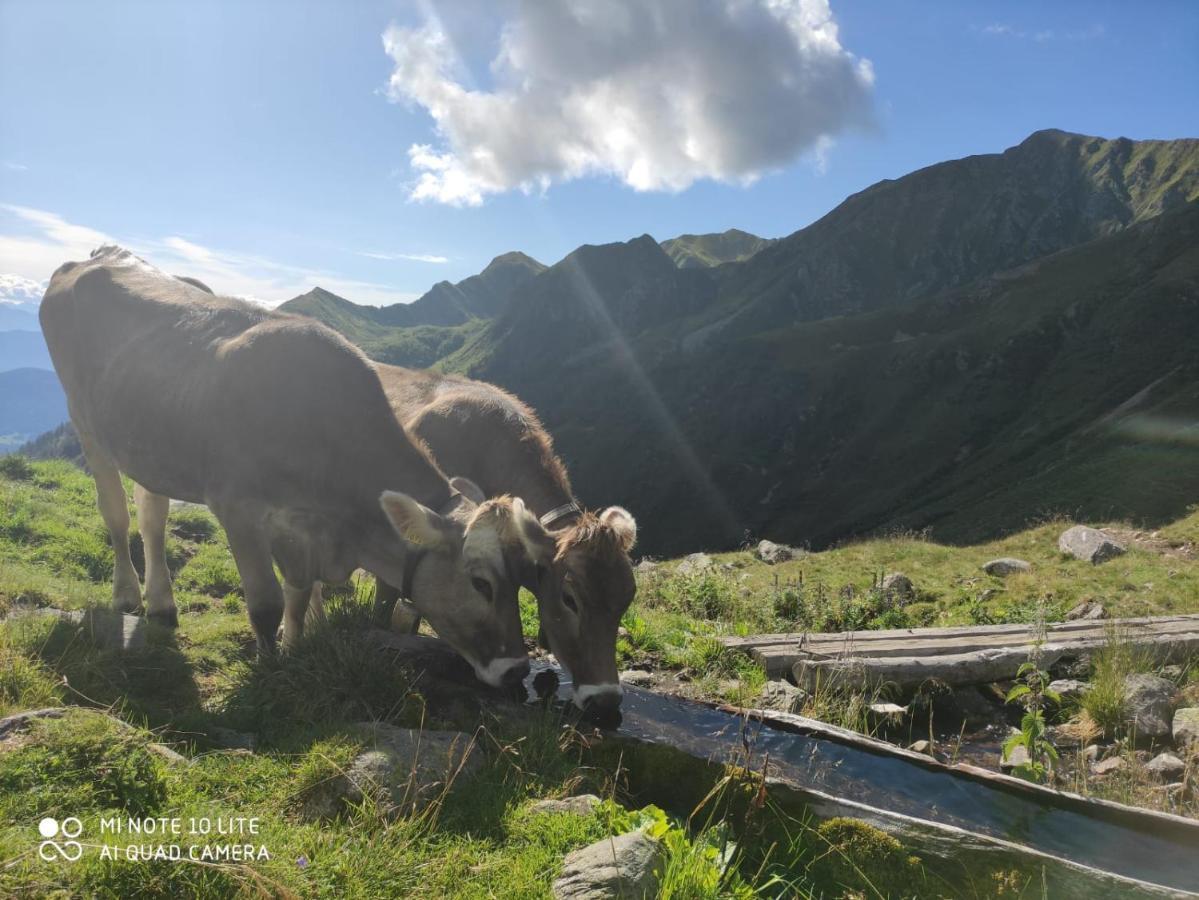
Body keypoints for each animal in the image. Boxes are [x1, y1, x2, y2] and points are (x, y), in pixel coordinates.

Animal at [38, 246, 556, 690]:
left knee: (152, 516)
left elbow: (300, 592)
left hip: (150, 441)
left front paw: (293, 649)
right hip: (85, 422)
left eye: (522, 577)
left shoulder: (303, 526)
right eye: (481, 583)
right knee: (114, 511)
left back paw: (163, 606)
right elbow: (266, 602)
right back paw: (127, 596)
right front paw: (268, 666)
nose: (515, 670)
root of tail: (100, 255)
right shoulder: (238, 507)